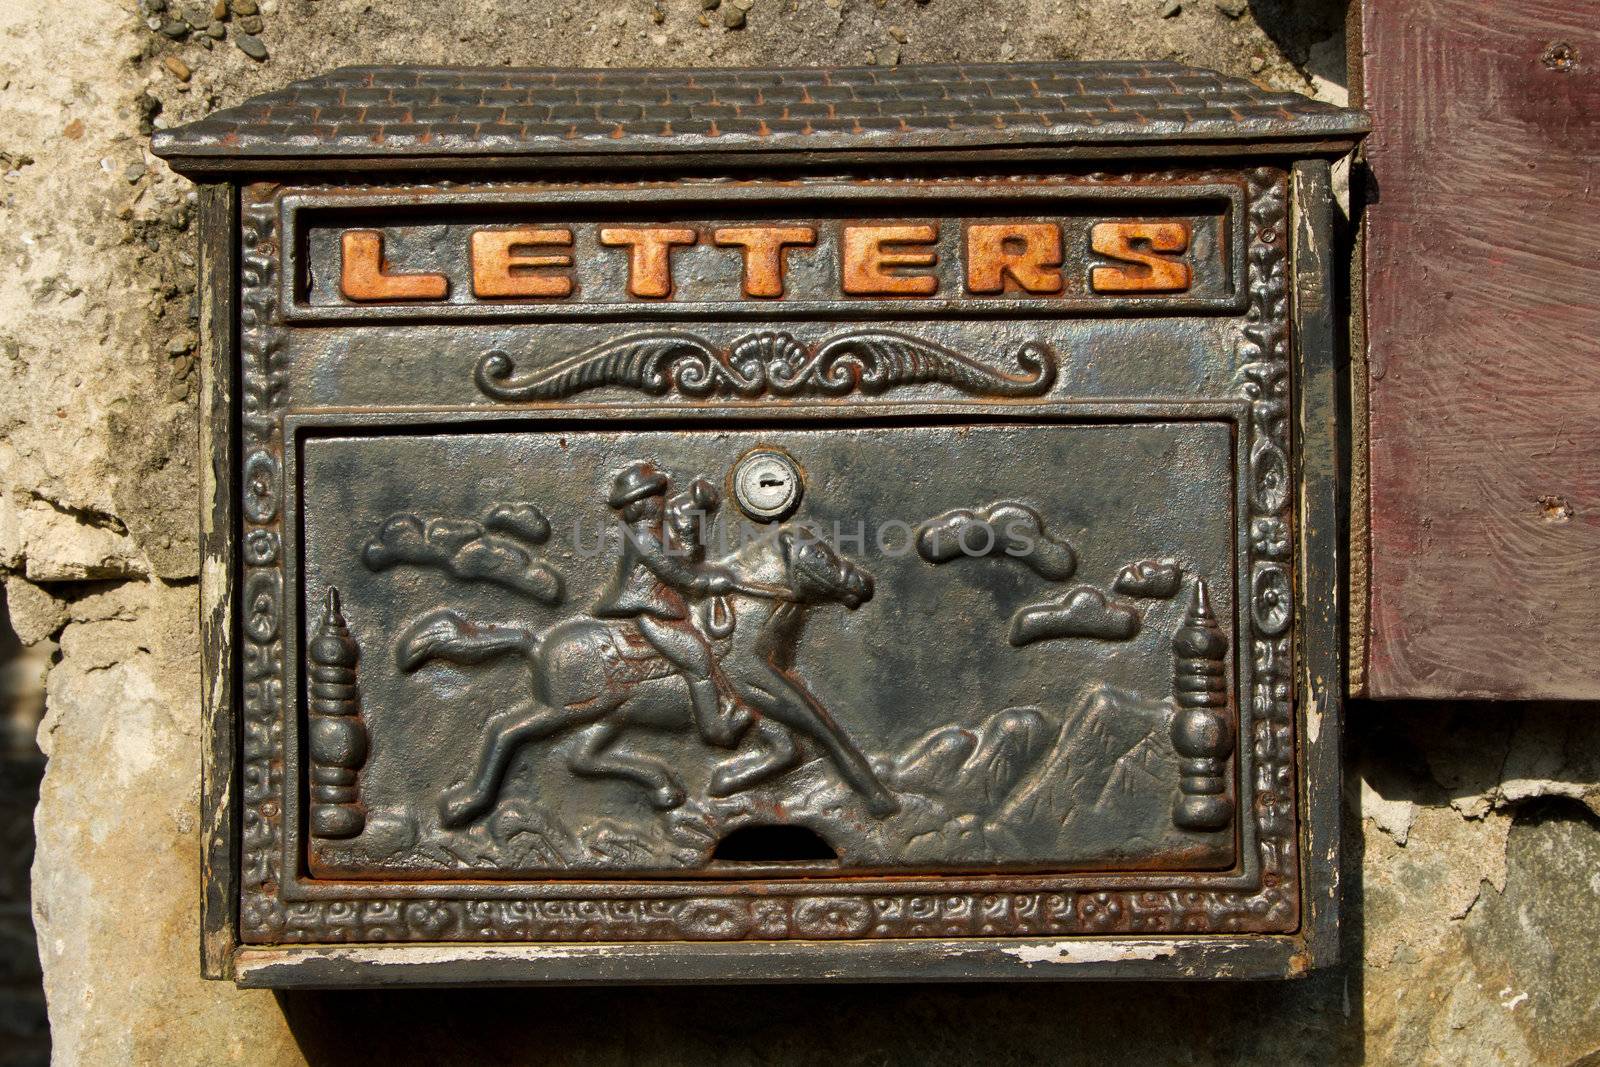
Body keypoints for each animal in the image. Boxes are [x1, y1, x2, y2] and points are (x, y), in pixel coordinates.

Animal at [400, 531, 902, 825]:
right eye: (818, 554)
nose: (861, 582)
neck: (745, 625)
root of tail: (537, 641)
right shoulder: (763, 688)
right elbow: (818, 725)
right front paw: (878, 798)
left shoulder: (754, 705)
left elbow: (786, 746)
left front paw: (726, 781)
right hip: (567, 708)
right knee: (506, 730)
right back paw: (465, 804)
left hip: (610, 715)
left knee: (581, 758)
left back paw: (665, 787)